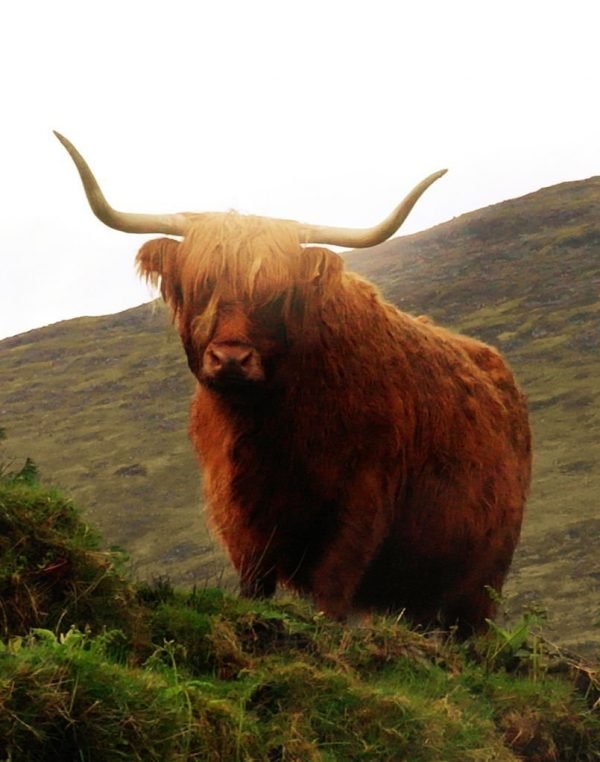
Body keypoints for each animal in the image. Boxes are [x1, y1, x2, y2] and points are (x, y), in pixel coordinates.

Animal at [56, 134, 532, 632]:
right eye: (202, 286)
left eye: (277, 294)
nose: (231, 359)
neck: (271, 425)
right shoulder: (239, 509)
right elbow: (254, 583)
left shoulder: (362, 501)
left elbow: (332, 588)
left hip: (480, 580)